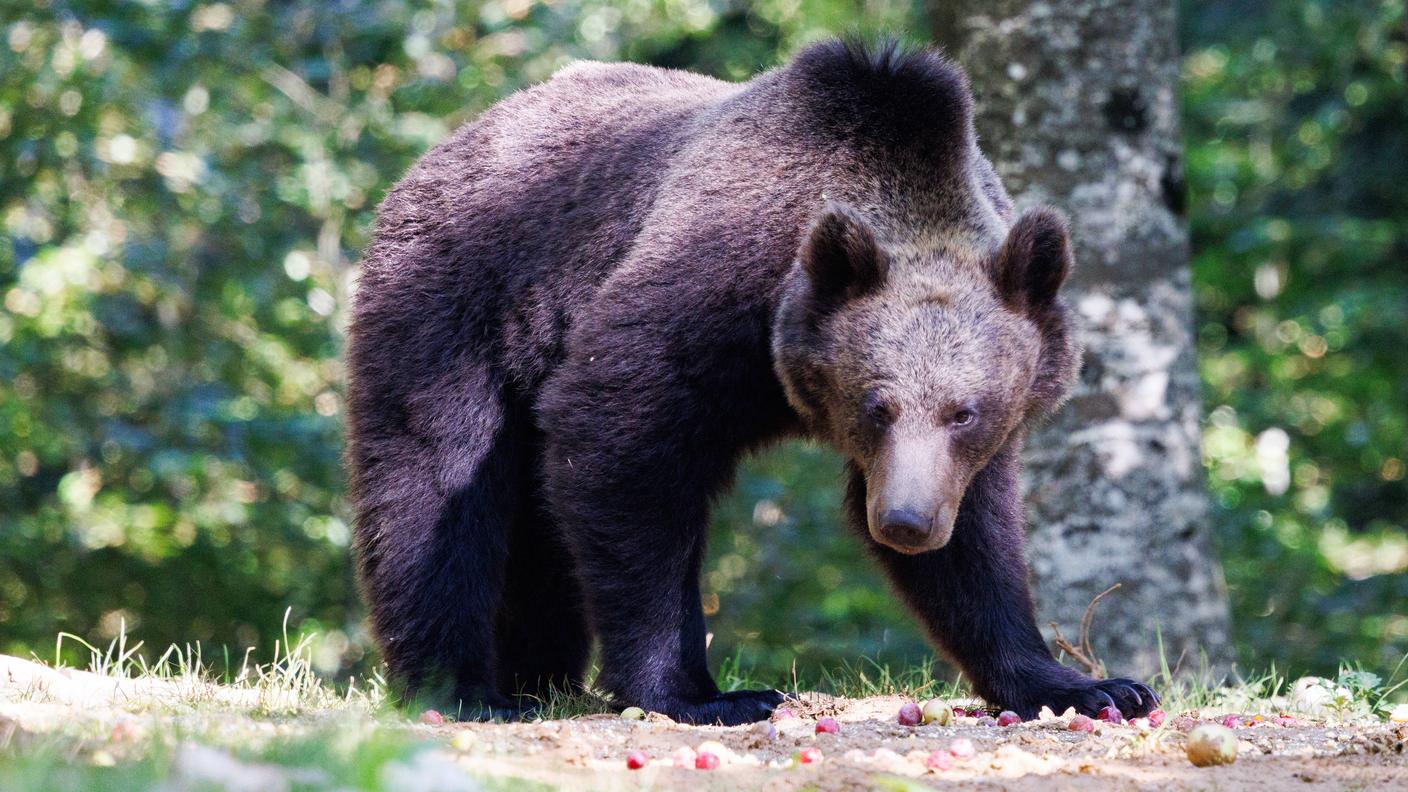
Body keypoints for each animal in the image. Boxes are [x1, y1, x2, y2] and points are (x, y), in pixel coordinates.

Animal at [346, 38, 1159, 725]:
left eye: (966, 411)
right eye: (877, 405)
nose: (905, 521)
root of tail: (450, 144)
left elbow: (980, 546)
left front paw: (1091, 685)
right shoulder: (702, 298)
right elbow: (622, 447)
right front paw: (697, 694)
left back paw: (537, 678)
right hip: (455, 305)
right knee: (433, 485)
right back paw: (462, 688)